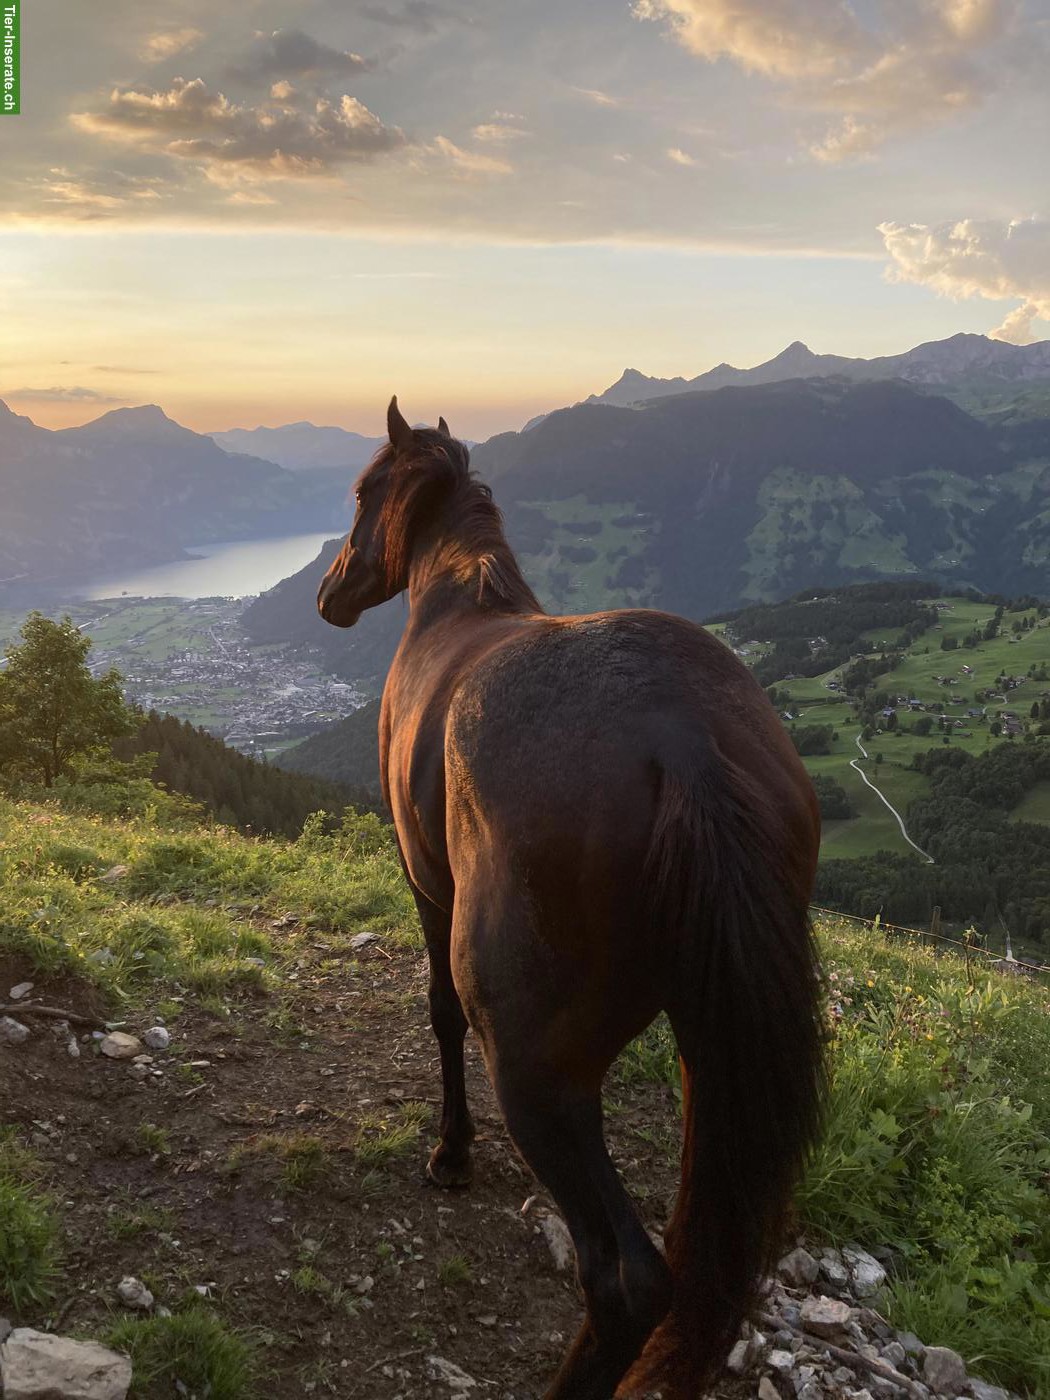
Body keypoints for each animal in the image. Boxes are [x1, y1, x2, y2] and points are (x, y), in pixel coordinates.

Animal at [318, 398, 825, 1400]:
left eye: (362, 490)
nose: (329, 592)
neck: (459, 606)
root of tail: (682, 741)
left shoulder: (424, 885)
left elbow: (438, 1011)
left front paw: (451, 1153)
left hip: (539, 1076)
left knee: (627, 1279)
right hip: (707, 1054)